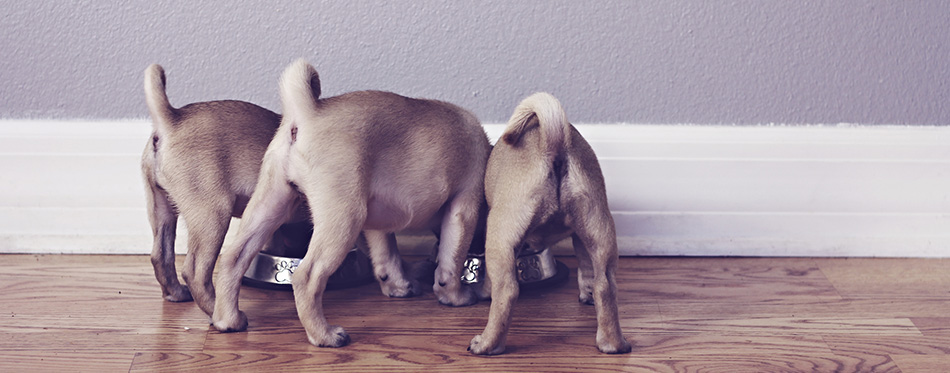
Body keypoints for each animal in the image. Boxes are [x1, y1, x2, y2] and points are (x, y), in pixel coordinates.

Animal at [142, 64, 312, 314]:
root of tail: (171, 120)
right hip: (213, 217)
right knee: (196, 272)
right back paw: (220, 311)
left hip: (161, 208)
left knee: (160, 256)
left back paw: (176, 294)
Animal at [210, 58, 490, 346]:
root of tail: (307, 113)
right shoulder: (463, 207)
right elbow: (451, 259)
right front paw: (455, 297)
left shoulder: (378, 222)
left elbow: (387, 255)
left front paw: (398, 286)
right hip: (344, 218)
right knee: (307, 277)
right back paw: (324, 335)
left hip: (271, 202)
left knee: (234, 258)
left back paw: (228, 320)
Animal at [468, 93, 632, 354]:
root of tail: (552, 143)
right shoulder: (580, 237)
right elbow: (586, 269)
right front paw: (586, 292)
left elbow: (490, 282)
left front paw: (484, 292)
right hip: (600, 229)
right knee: (605, 286)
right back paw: (613, 343)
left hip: (500, 238)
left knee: (507, 291)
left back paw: (487, 344)